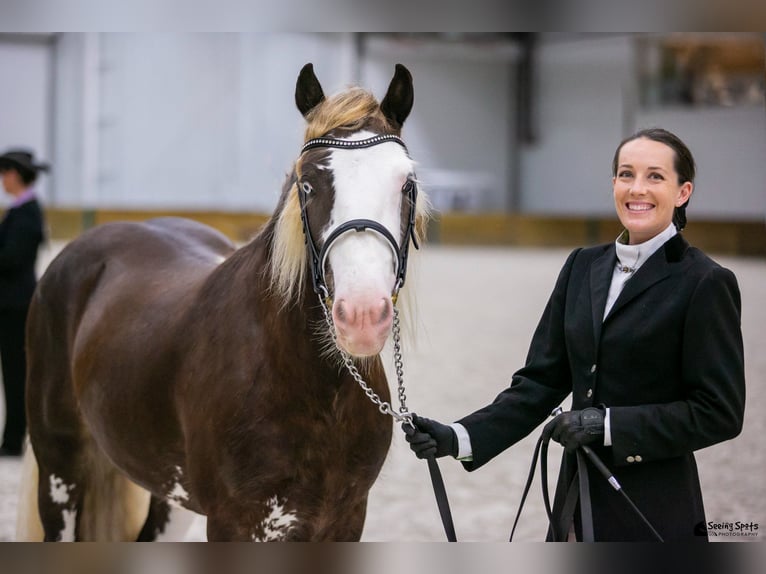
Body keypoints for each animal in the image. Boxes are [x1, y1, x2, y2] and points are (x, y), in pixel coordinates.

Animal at [16, 64, 432, 544]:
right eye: (308, 183)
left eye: (407, 185)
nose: (362, 315)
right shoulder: (233, 522)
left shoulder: (344, 520)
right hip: (60, 469)